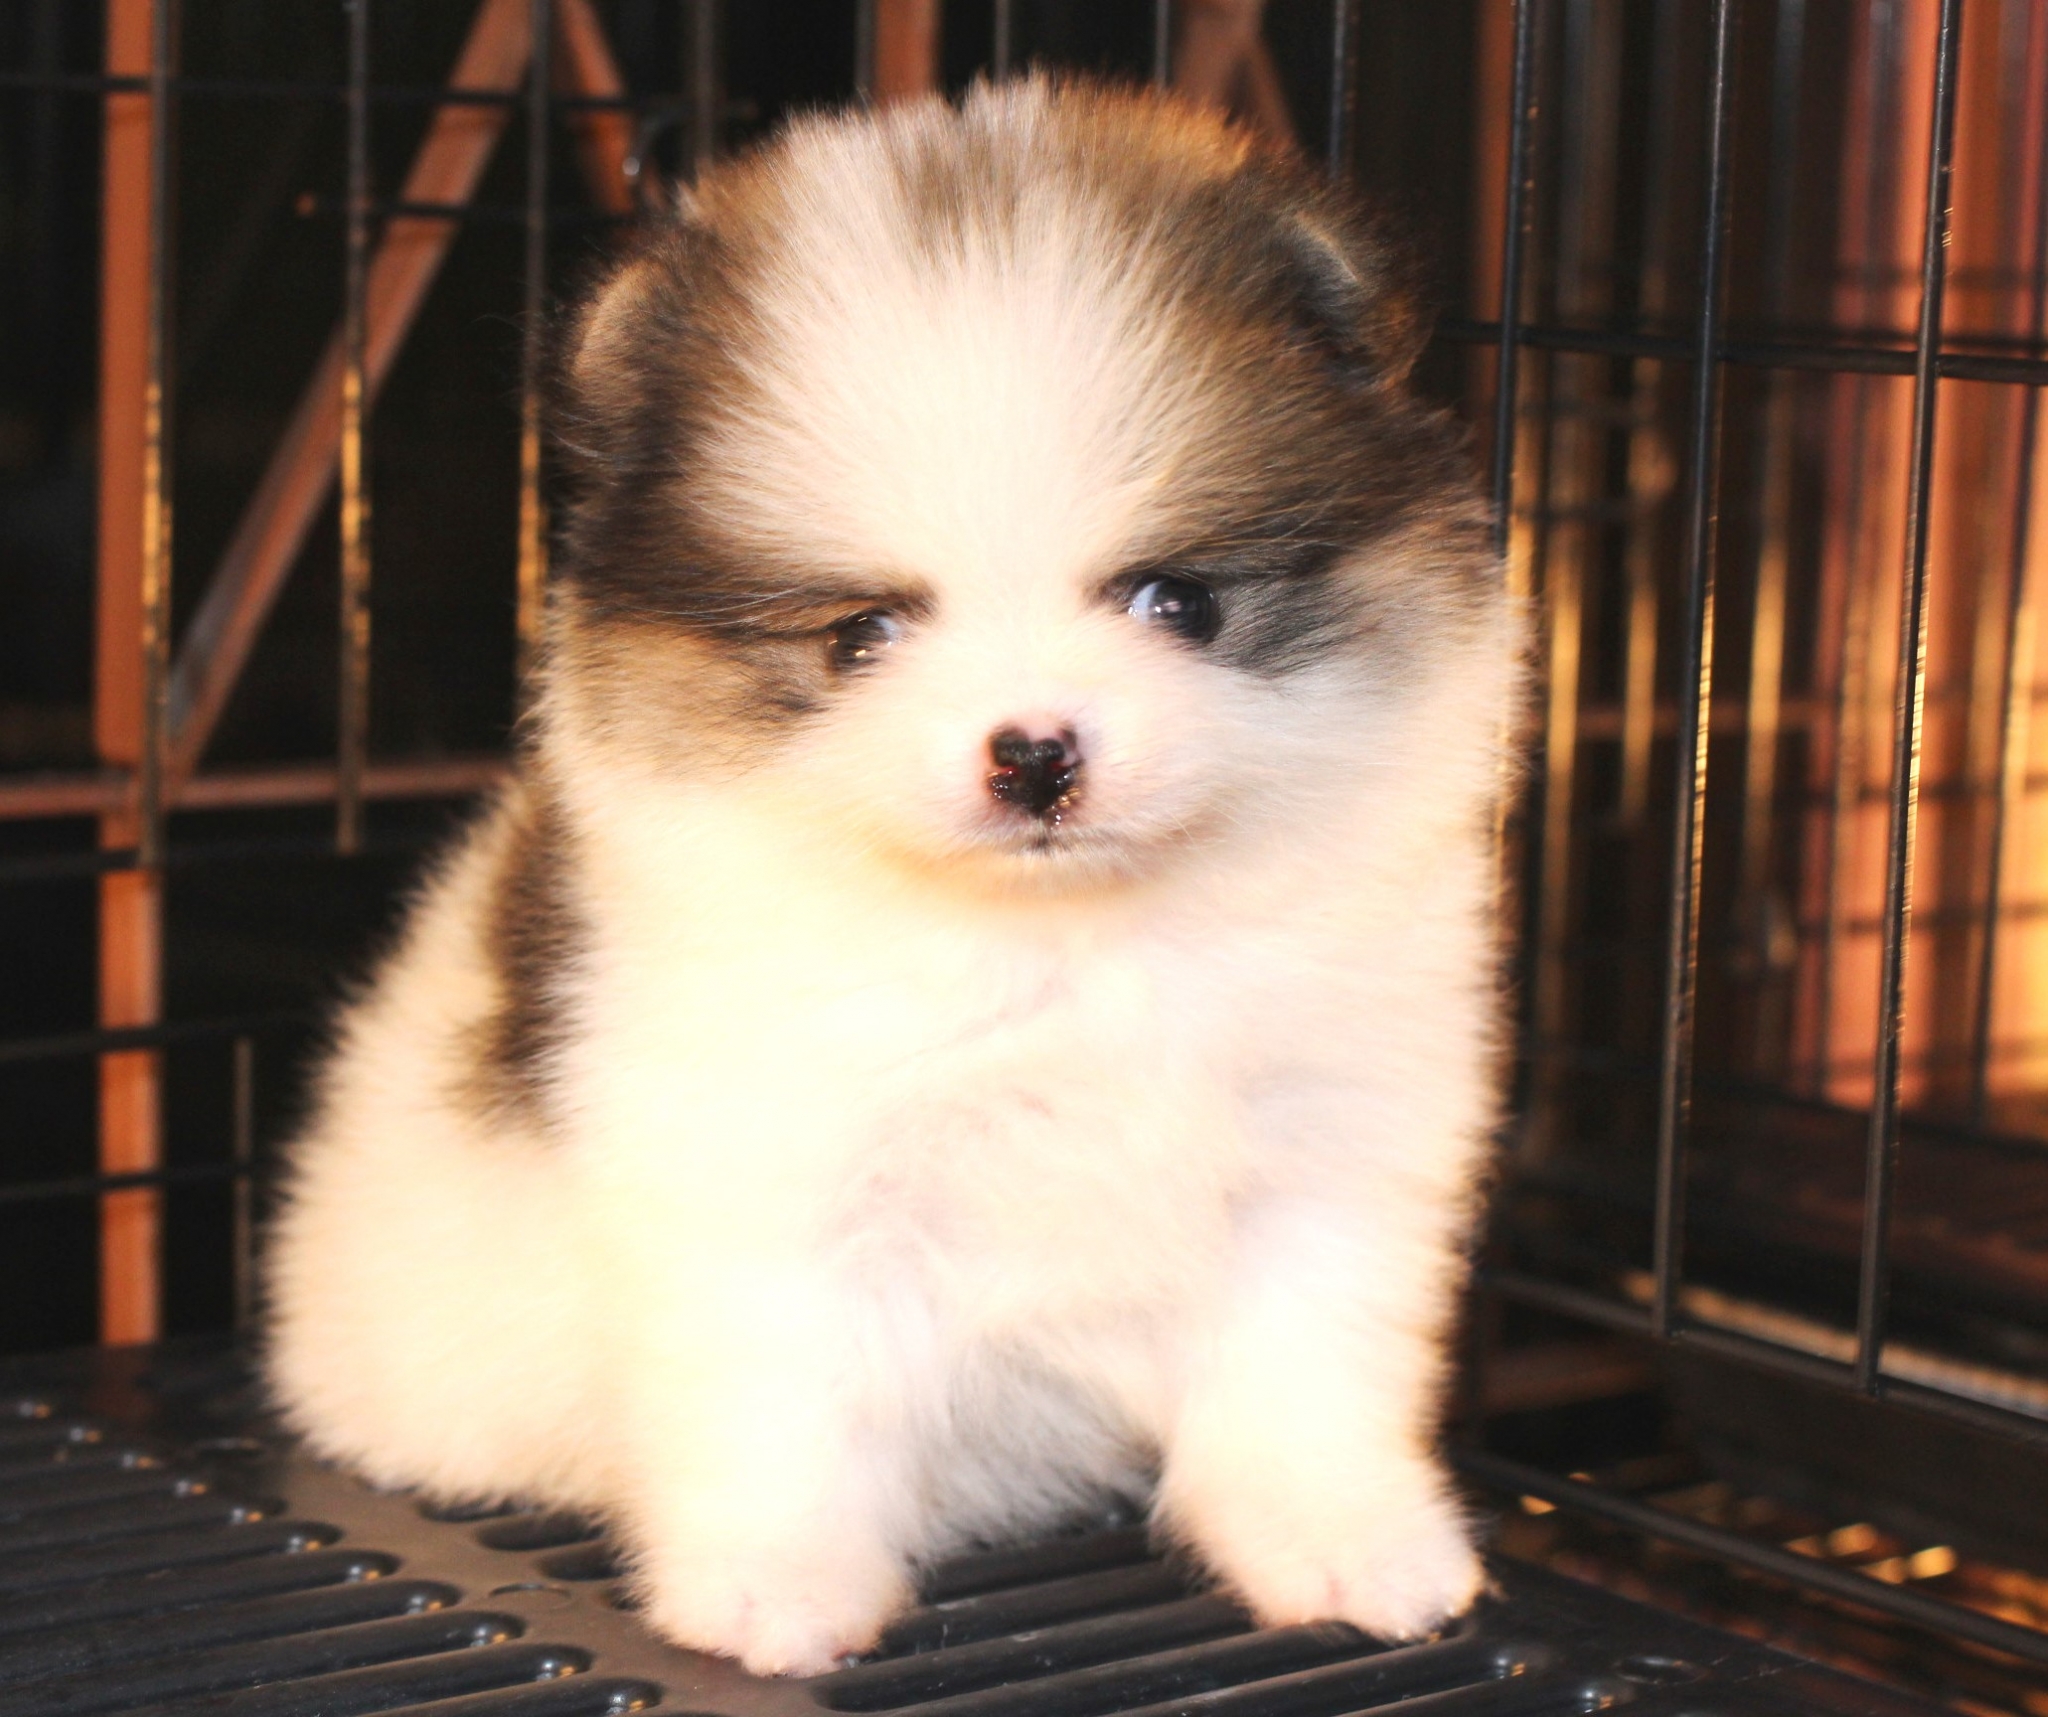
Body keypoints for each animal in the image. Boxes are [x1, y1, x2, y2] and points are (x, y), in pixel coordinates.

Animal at [266, 77, 1521, 1677]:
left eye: (1178, 601)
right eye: (859, 635)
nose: (1034, 752)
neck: (1063, 951)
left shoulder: (1329, 1154)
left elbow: (1309, 1376)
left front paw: (1350, 1545)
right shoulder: (771, 1180)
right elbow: (789, 1404)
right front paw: (778, 1590)